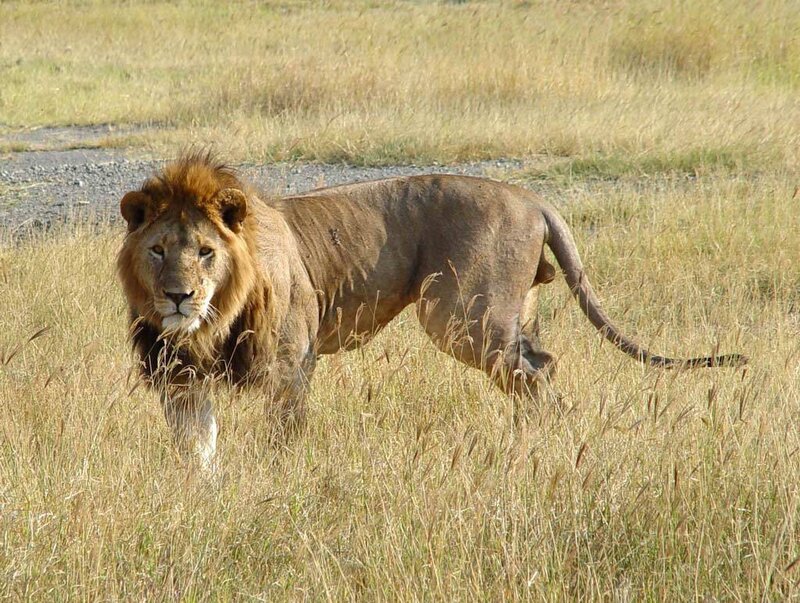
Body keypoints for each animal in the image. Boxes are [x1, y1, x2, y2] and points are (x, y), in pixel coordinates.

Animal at [117, 152, 746, 468]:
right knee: (540, 365)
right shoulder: (179, 381)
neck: (212, 321)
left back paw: (537, 445)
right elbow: (198, 451)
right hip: (505, 315)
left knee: (535, 373)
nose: (178, 296)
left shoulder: (291, 366)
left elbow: (283, 437)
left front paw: (280, 479)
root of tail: (531, 196)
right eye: (158, 250)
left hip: (462, 316)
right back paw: (534, 440)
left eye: (206, 252)